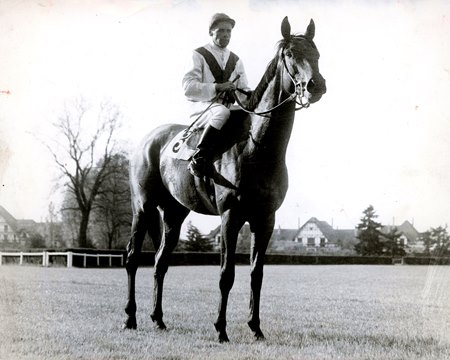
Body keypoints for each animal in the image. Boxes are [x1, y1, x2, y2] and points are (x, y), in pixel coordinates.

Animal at [123, 17, 326, 344]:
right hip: (142, 208)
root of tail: (149, 140)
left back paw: (158, 319)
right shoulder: (230, 216)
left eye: (316, 54)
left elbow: (256, 275)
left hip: (175, 213)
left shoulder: (264, 219)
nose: (315, 85)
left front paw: (256, 328)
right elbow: (226, 274)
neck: (257, 147)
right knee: (131, 258)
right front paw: (221, 329)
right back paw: (130, 318)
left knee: (160, 262)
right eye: (291, 54)